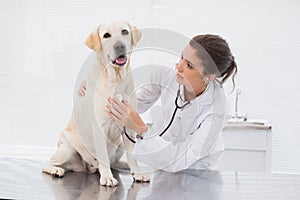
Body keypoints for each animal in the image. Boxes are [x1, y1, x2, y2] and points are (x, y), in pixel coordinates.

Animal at [42, 21, 150, 187]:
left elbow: (132, 156)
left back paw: (125, 165)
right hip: (67, 149)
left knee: (114, 161)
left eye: (124, 32)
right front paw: (107, 178)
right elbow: (103, 157)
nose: (119, 46)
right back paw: (55, 169)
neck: (116, 79)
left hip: (119, 144)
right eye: (106, 35)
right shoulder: (99, 128)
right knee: (48, 163)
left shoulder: (129, 127)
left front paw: (137, 173)